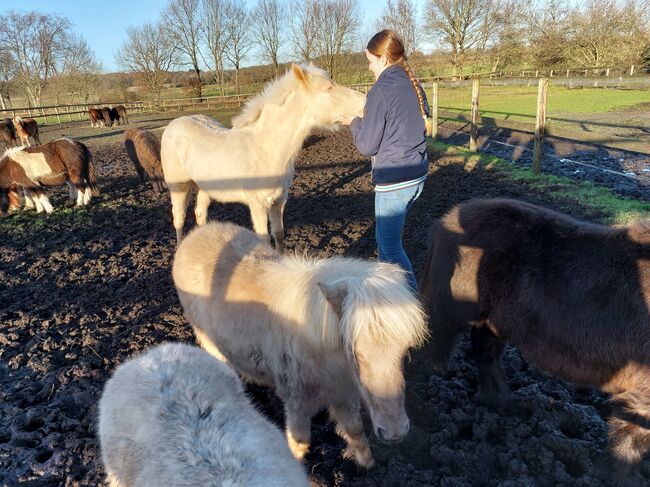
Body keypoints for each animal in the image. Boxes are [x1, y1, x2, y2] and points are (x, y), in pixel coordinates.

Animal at [160, 62, 368, 252]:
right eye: (329, 88)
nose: (365, 103)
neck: (266, 149)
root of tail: (173, 125)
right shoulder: (257, 205)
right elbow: (264, 239)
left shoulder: (278, 201)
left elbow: (279, 234)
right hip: (178, 187)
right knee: (179, 219)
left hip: (205, 187)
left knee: (200, 214)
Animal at [172, 221, 428, 468]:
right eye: (355, 353)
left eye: (404, 351)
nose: (395, 432)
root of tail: (195, 235)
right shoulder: (297, 403)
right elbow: (299, 442)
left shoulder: (344, 394)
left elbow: (354, 429)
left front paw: (366, 464)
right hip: (206, 338)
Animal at [418, 199, 644, 484]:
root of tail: (445, 220)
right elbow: (631, 438)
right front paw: (618, 477)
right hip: (448, 314)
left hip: (492, 321)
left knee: (486, 354)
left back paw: (503, 402)